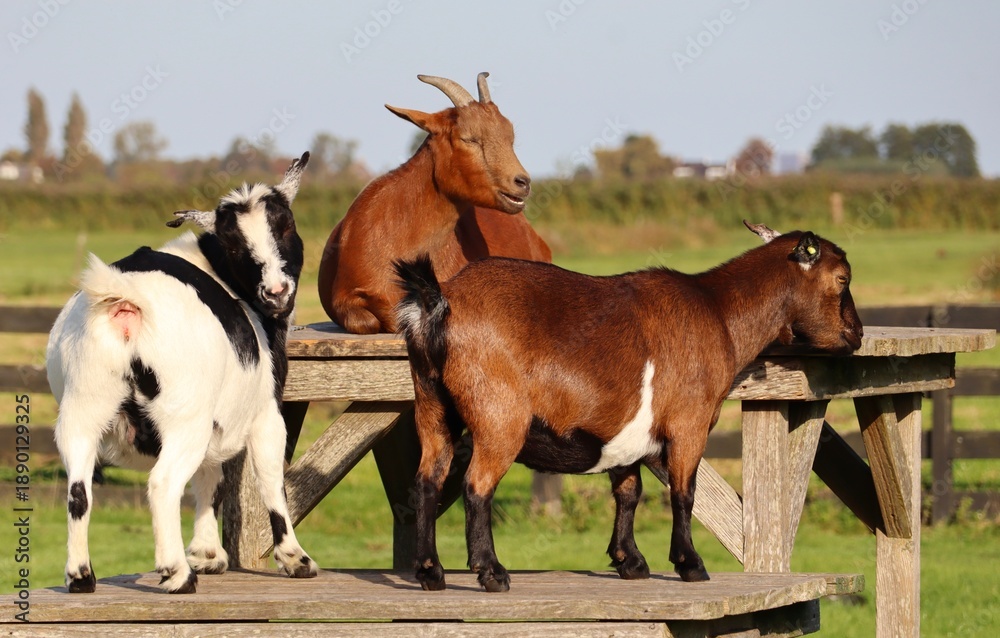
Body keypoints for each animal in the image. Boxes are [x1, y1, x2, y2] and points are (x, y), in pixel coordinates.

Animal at [46, 153, 318, 594]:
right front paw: (295, 558)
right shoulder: (265, 413)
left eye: (285, 225)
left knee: (78, 491)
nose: (276, 292)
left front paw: (207, 554)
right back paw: (176, 574)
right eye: (233, 242)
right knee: (163, 483)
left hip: (82, 407)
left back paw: (81, 576)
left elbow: (209, 477)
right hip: (183, 415)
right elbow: (270, 480)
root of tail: (126, 302)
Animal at [394, 221, 863, 592]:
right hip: (499, 416)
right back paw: (491, 573)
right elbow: (683, 492)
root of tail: (438, 302)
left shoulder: (625, 435)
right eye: (842, 279)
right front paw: (690, 564)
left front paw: (630, 562)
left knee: (427, 482)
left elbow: (629, 492)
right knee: (476, 487)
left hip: (432, 407)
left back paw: (431, 572)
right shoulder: (690, 423)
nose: (856, 334)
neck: (720, 311)